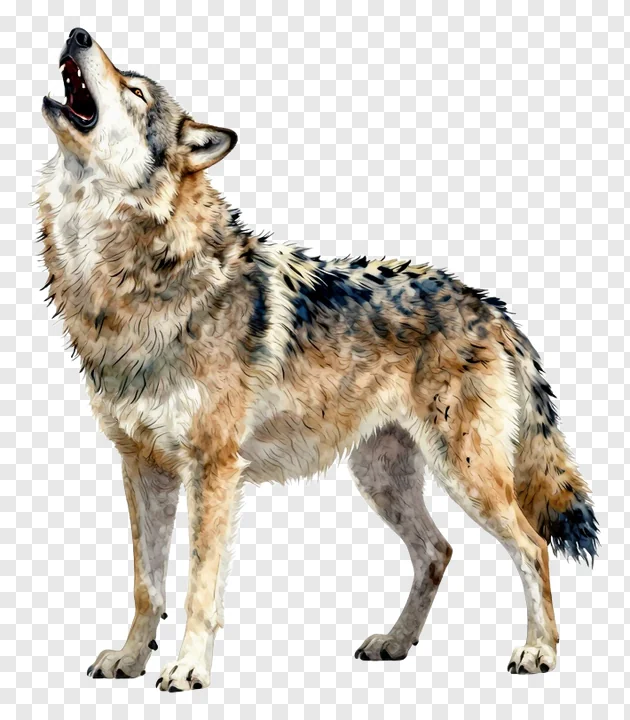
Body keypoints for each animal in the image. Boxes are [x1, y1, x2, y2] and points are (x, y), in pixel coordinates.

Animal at [37, 28, 598, 690]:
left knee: (531, 545)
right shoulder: (141, 468)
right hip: (381, 475)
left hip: (465, 474)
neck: (128, 280)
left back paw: (539, 652)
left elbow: (199, 588)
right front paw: (130, 658)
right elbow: (147, 585)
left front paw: (188, 668)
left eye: (135, 90)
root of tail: (486, 305)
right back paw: (396, 642)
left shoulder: (212, 469)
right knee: (437, 550)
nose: (78, 34)